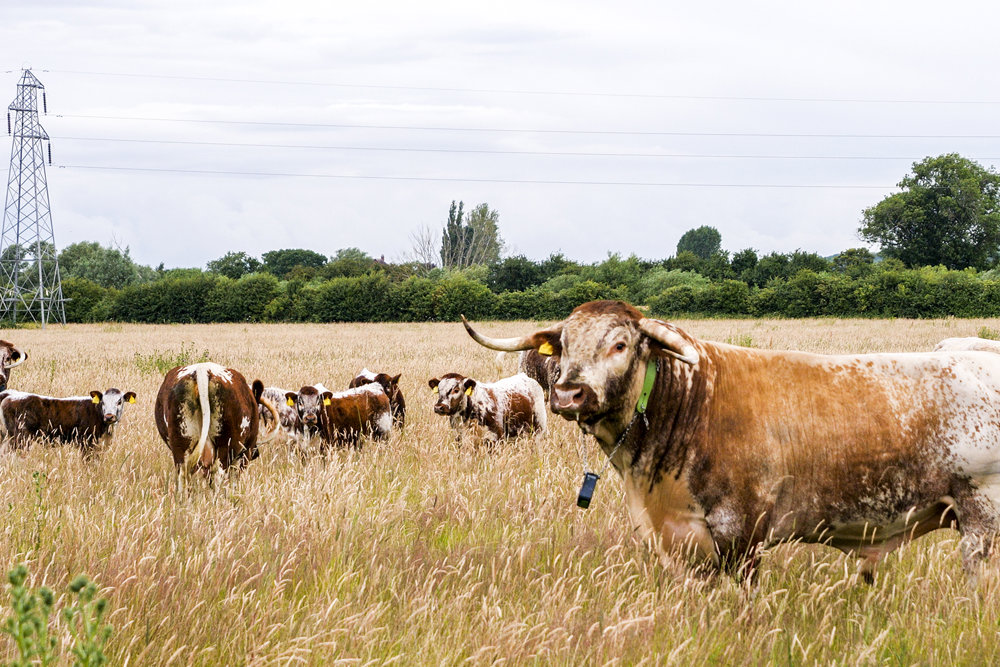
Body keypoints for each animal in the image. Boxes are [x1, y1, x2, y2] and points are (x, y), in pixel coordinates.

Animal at [0, 388, 136, 456]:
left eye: (119, 401)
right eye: (103, 401)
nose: (109, 416)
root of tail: (10, 394)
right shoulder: (86, 443)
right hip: (19, 439)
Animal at [462, 300, 1000, 585]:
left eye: (620, 344)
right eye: (564, 346)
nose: (568, 393)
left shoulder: (742, 534)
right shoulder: (680, 537)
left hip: (980, 518)